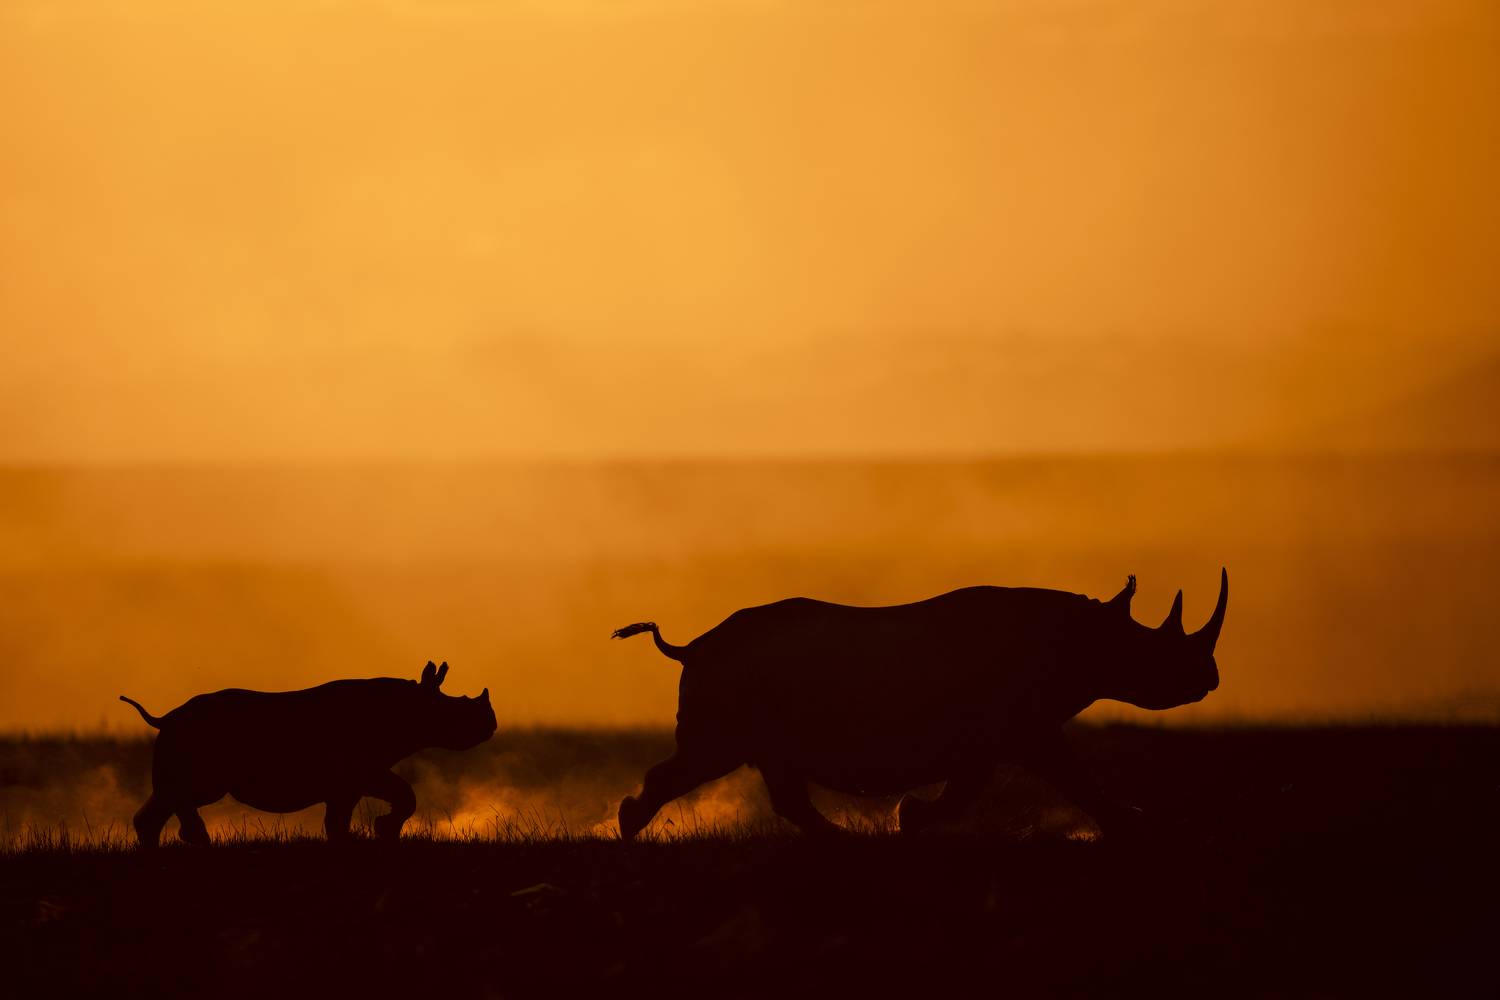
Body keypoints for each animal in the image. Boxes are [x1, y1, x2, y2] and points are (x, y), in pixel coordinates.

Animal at [119, 661, 496, 847]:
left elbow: (338, 819)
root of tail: (166, 717)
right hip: (198, 744)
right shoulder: (364, 770)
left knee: (167, 796)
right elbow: (405, 794)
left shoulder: (349, 781)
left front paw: (358, 838)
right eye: (456, 712)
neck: (412, 705)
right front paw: (382, 830)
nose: (491, 724)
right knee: (189, 793)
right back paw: (199, 841)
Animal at [612, 570, 1227, 840]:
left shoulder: (1009, 729)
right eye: (1151, 654)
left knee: (768, 766)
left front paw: (908, 818)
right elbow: (1057, 776)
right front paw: (1135, 823)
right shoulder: (1016, 726)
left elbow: (1017, 779)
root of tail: (692, 645)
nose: (1209, 680)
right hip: (735, 687)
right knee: (710, 756)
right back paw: (627, 827)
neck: (1085, 636)